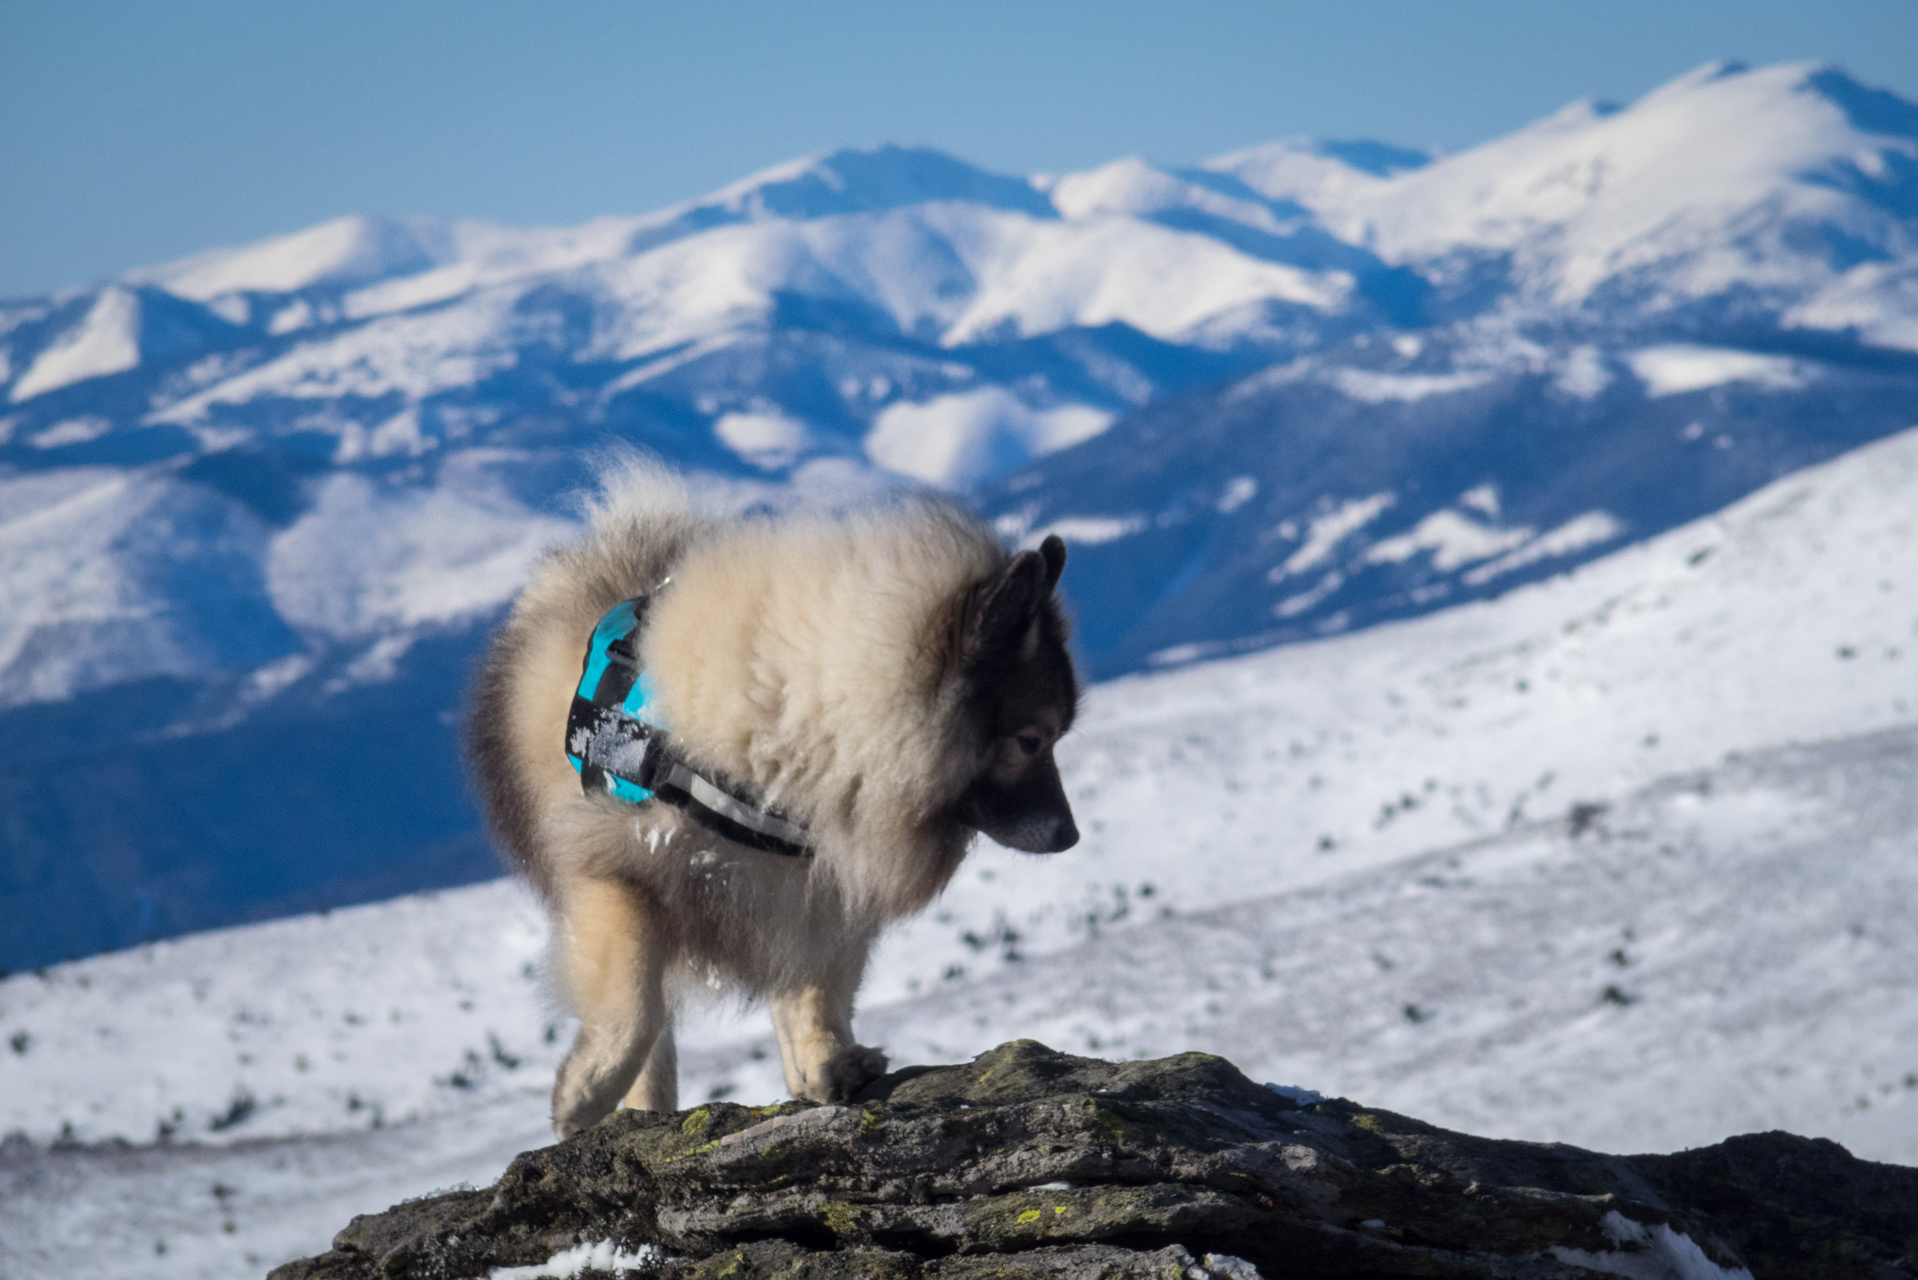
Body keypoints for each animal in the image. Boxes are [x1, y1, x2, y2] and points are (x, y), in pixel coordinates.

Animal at [458, 462, 1074, 1143]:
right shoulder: (619, 873)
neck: (799, 723)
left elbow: (813, 988)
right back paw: (642, 1108)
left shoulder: (816, 887)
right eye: (1031, 740)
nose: (1070, 835)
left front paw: (825, 1063)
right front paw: (584, 1095)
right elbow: (636, 1010)